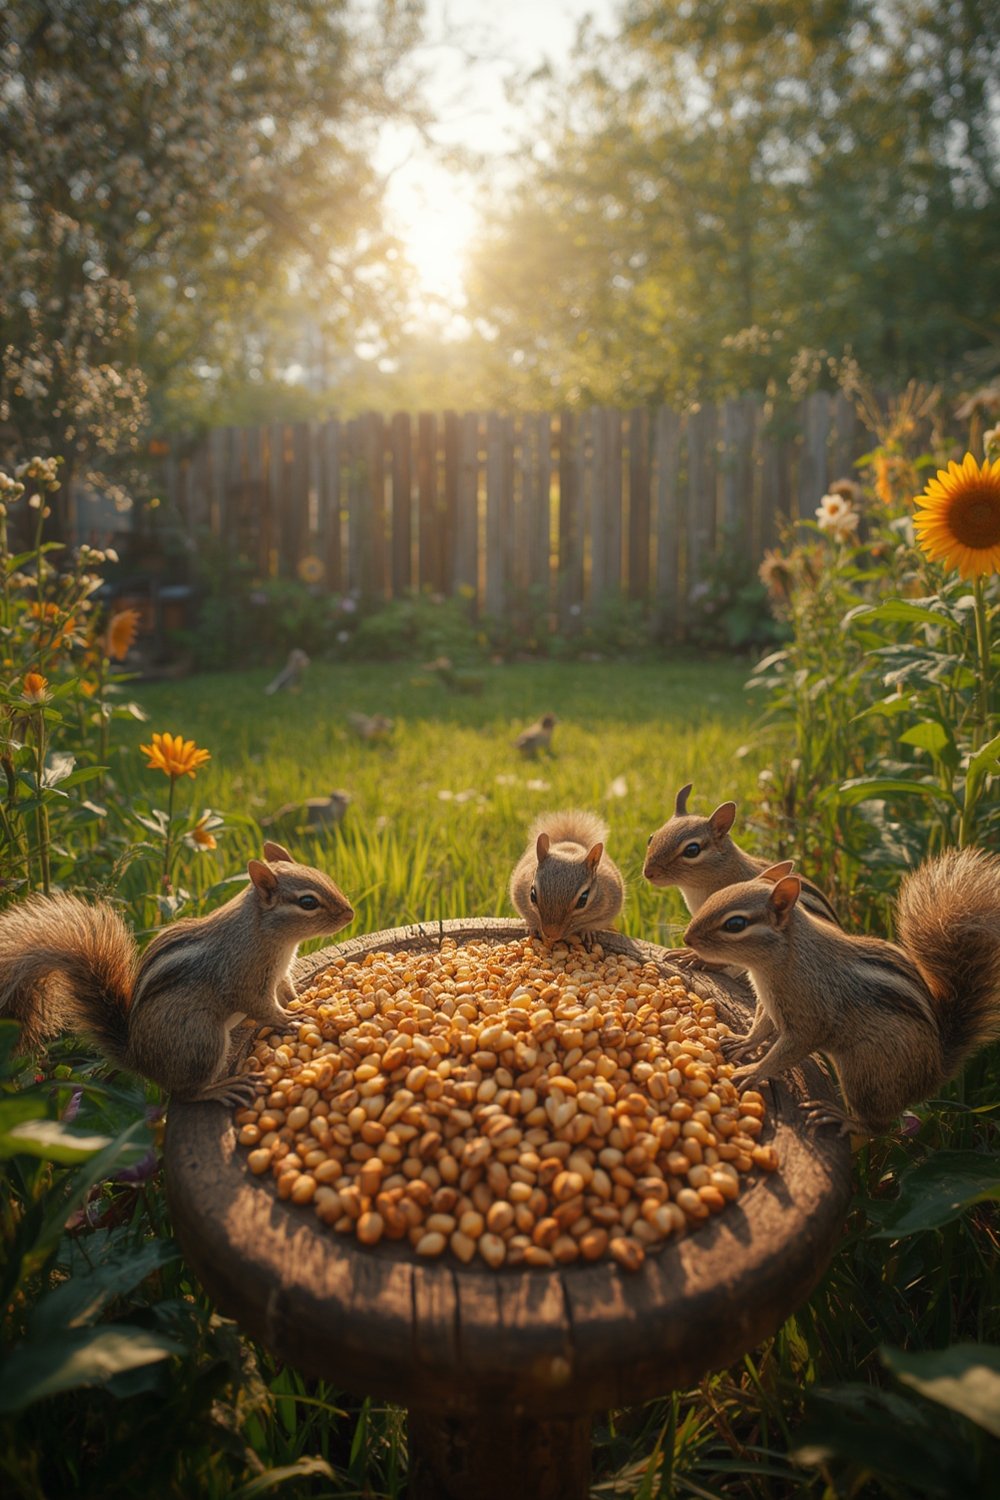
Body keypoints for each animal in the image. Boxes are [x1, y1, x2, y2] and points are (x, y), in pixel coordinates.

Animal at [0, 842, 354, 1107]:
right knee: (185, 1095)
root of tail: (138, 1058)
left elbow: (288, 990)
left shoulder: (279, 974)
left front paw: (306, 1000)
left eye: (322, 875)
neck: (265, 933)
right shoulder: (243, 980)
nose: (350, 914)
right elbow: (264, 1008)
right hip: (201, 1040)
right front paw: (290, 1019)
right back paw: (223, 1088)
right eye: (307, 902)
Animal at [682, 846, 1000, 1136]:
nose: (687, 938)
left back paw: (843, 1119)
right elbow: (761, 1027)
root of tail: (935, 1070)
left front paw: (754, 1071)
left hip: (866, 1075)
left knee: (878, 1127)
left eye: (736, 923)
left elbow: (785, 1051)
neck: (783, 959)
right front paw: (743, 1042)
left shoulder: (810, 1020)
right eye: (715, 895)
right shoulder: (771, 1004)